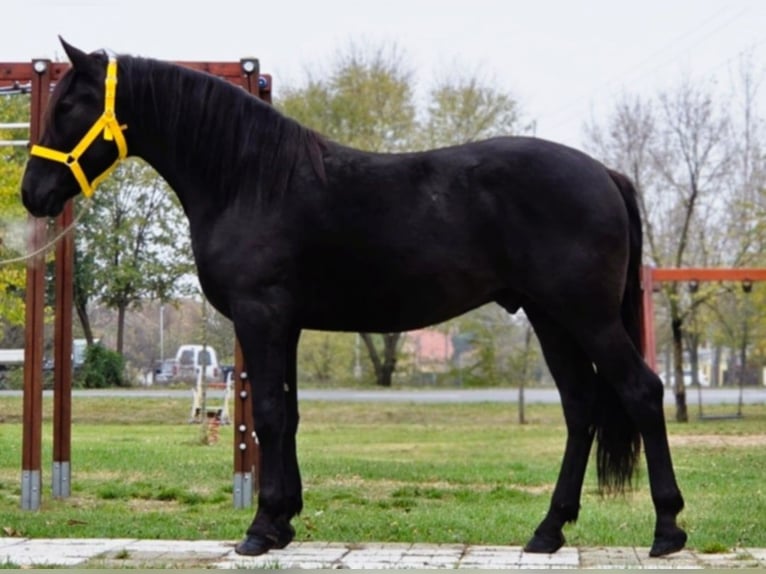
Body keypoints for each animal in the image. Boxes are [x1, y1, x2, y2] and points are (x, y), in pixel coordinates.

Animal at [21, 39, 687, 558]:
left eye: (70, 105)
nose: (32, 193)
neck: (250, 179)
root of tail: (605, 174)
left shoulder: (261, 317)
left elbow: (267, 413)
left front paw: (260, 528)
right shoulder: (284, 324)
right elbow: (287, 414)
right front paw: (284, 521)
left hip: (586, 316)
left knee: (640, 392)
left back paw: (667, 529)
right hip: (552, 319)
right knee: (581, 409)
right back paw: (548, 531)